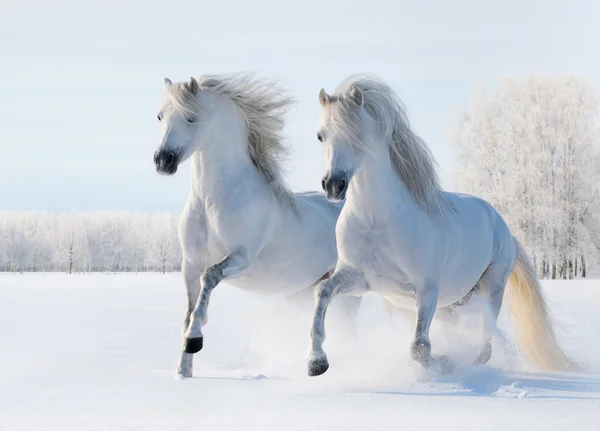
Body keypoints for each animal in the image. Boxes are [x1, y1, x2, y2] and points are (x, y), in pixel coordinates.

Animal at [155, 73, 358, 378]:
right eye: (160, 116)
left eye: (191, 118)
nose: (162, 161)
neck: (211, 203)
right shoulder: (189, 264)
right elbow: (188, 313)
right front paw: (183, 372)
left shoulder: (241, 258)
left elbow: (209, 278)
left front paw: (195, 340)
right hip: (302, 292)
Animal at [310, 74, 572, 378]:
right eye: (321, 135)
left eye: (357, 134)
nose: (333, 185)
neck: (377, 222)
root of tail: (502, 225)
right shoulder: (359, 279)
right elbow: (322, 291)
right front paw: (316, 362)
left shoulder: (427, 290)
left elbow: (419, 348)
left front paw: (445, 363)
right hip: (453, 303)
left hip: (491, 289)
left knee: (485, 344)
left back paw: (469, 365)